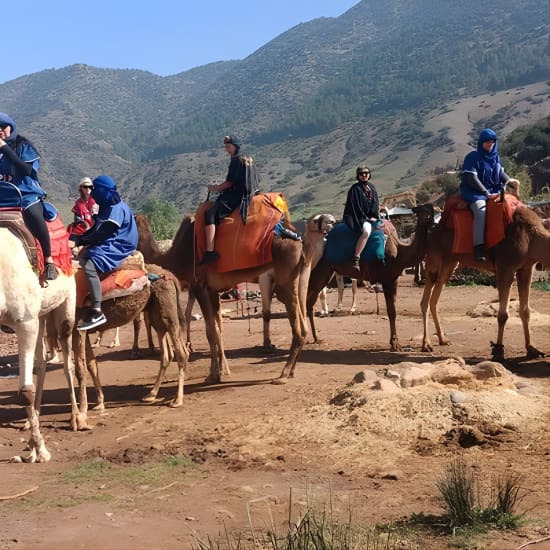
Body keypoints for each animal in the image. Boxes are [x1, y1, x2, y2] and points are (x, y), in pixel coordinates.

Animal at [0, 226, 80, 464]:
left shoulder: (25, 321)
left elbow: (25, 391)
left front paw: (42, 451)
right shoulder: (30, 320)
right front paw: (35, 445)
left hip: (65, 305)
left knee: (67, 363)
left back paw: (77, 418)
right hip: (41, 315)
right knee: (42, 363)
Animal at [136, 213, 312, 386]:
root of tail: (299, 242)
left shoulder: (199, 286)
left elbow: (210, 331)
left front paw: (213, 375)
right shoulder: (212, 290)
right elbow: (217, 329)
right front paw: (220, 371)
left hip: (285, 280)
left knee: (297, 328)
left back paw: (283, 374)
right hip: (300, 276)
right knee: (303, 325)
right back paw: (292, 371)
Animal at [306, 205, 436, 352]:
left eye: (431, 210)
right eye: (421, 211)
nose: (429, 219)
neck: (399, 253)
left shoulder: (394, 279)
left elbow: (393, 310)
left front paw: (395, 343)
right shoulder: (386, 279)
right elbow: (391, 311)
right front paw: (394, 344)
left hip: (326, 271)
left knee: (309, 301)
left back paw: (316, 337)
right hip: (319, 269)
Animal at [422, 203, 550, 362]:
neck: (532, 238)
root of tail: (431, 230)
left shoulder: (526, 269)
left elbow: (525, 311)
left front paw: (531, 349)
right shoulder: (505, 267)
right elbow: (503, 315)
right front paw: (498, 351)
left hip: (450, 262)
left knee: (434, 299)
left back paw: (442, 339)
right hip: (434, 259)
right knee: (425, 299)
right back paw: (426, 344)